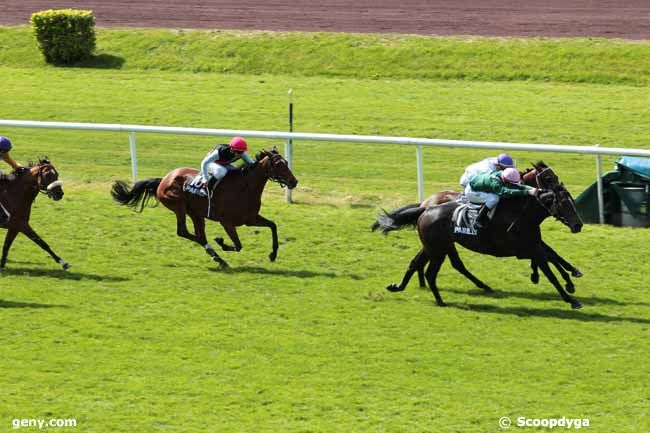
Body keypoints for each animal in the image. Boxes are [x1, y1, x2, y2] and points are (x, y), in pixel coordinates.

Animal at [110, 148, 296, 266]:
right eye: (278, 165)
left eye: (286, 162)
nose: (294, 181)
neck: (244, 187)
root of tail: (164, 179)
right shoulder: (227, 222)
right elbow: (238, 245)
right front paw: (221, 241)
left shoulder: (249, 219)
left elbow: (273, 225)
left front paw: (273, 254)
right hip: (179, 206)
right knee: (184, 232)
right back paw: (217, 255)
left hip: (196, 214)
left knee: (199, 235)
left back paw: (217, 257)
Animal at [370, 161, 584, 308]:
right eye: (548, 179)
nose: (578, 225)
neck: (520, 212)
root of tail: (425, 207)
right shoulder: (524, 248)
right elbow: (549, 266)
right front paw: (569, 294)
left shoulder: (533, 244)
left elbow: (551, 256)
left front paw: (569, 278)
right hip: (439, 247)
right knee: (439, 267)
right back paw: (439, 295)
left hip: (437, 246)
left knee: (419, 262)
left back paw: (403, 286)